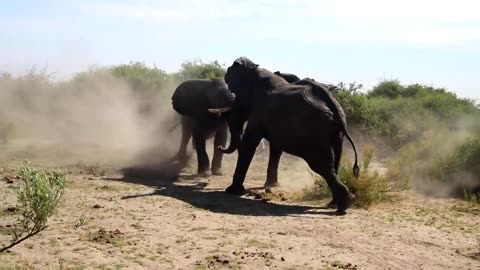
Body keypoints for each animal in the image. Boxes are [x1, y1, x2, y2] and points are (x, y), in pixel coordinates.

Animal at [208, 57, 358, 215]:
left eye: (233, 90)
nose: (220, 146)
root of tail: (336, 109)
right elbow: (275, 148)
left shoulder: (259, 111)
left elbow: (249, 144)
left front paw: (232, 191)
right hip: (336, 135)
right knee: (334, 164)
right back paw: (335, 204)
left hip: (316, 135)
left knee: (321, 166)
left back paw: (343, 205)